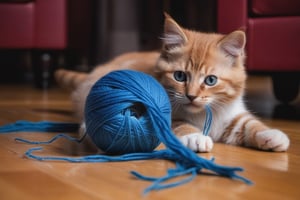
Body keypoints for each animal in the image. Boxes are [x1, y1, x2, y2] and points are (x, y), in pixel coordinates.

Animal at [55, 13, 290, 152]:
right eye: (180, 76)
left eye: (211, 80)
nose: (192, 96)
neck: (204, 113)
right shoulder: (165, 115)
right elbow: (181, 124)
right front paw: (196, 137)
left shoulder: (231, 114)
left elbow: (248, 123)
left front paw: (271, 134)